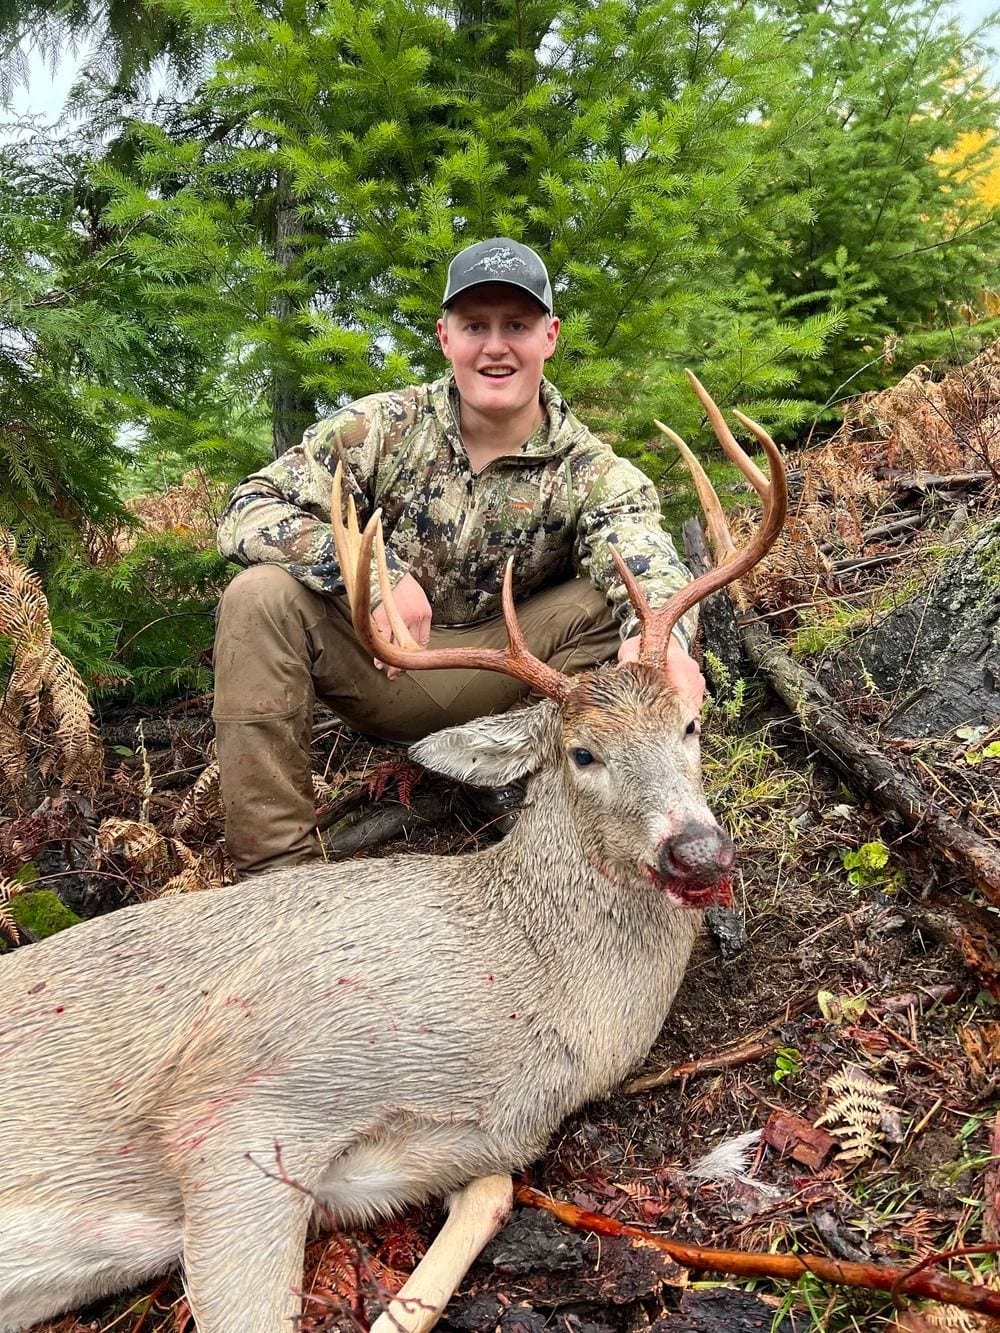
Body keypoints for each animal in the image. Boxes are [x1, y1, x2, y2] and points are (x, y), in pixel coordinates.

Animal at [0, 373, 785, 1333]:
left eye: (691, 724)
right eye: (582, 753)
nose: (699, 852)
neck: (529, 994)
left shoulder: (430, 1151)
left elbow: (490, 1191)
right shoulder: (239, 1101)